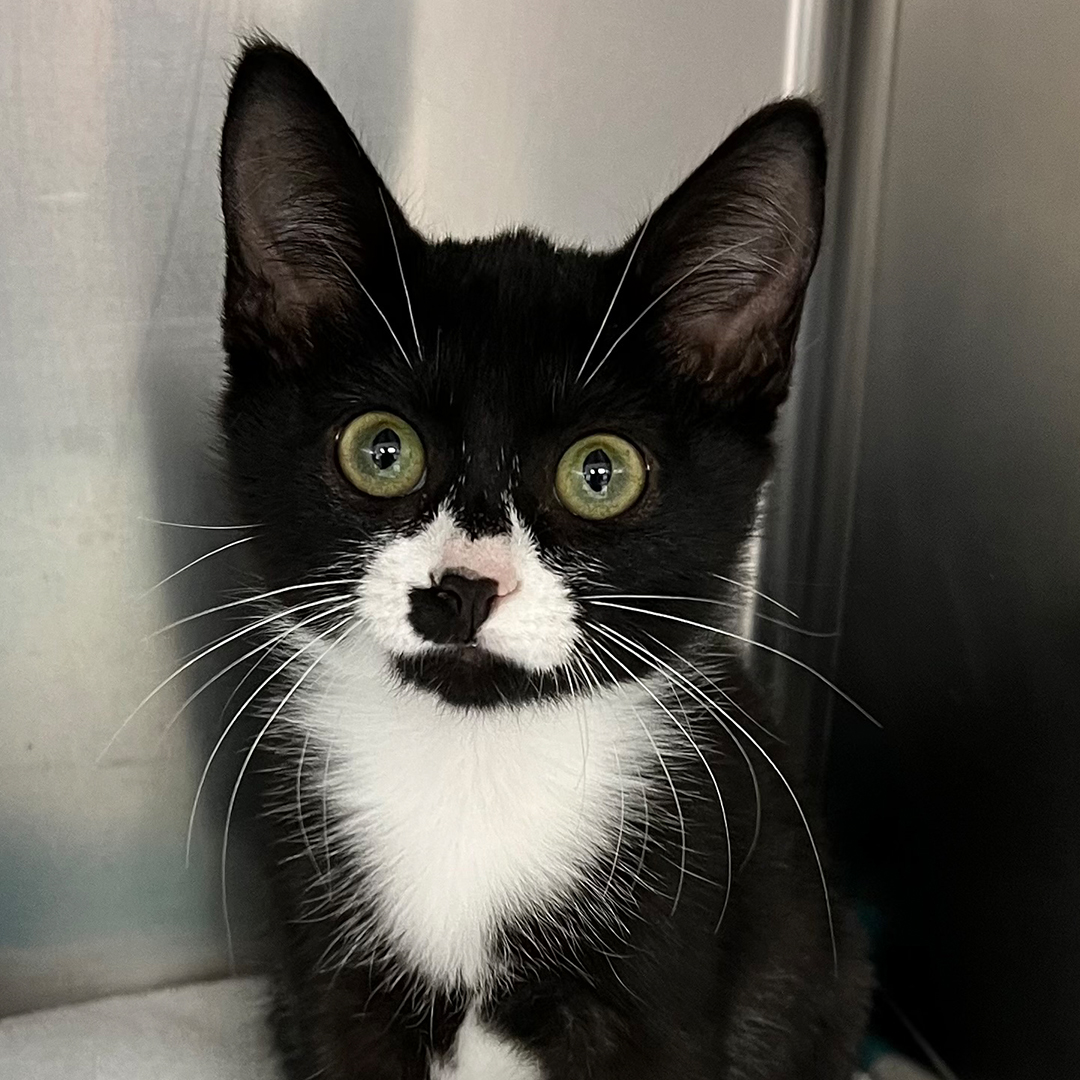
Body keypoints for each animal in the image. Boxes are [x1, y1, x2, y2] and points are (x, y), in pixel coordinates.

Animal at [217, 39, 868, 1080]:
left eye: (600, 473)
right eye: (381, 449)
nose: (462, 588)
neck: (474, 759)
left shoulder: (671, 967)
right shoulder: (328, 977)